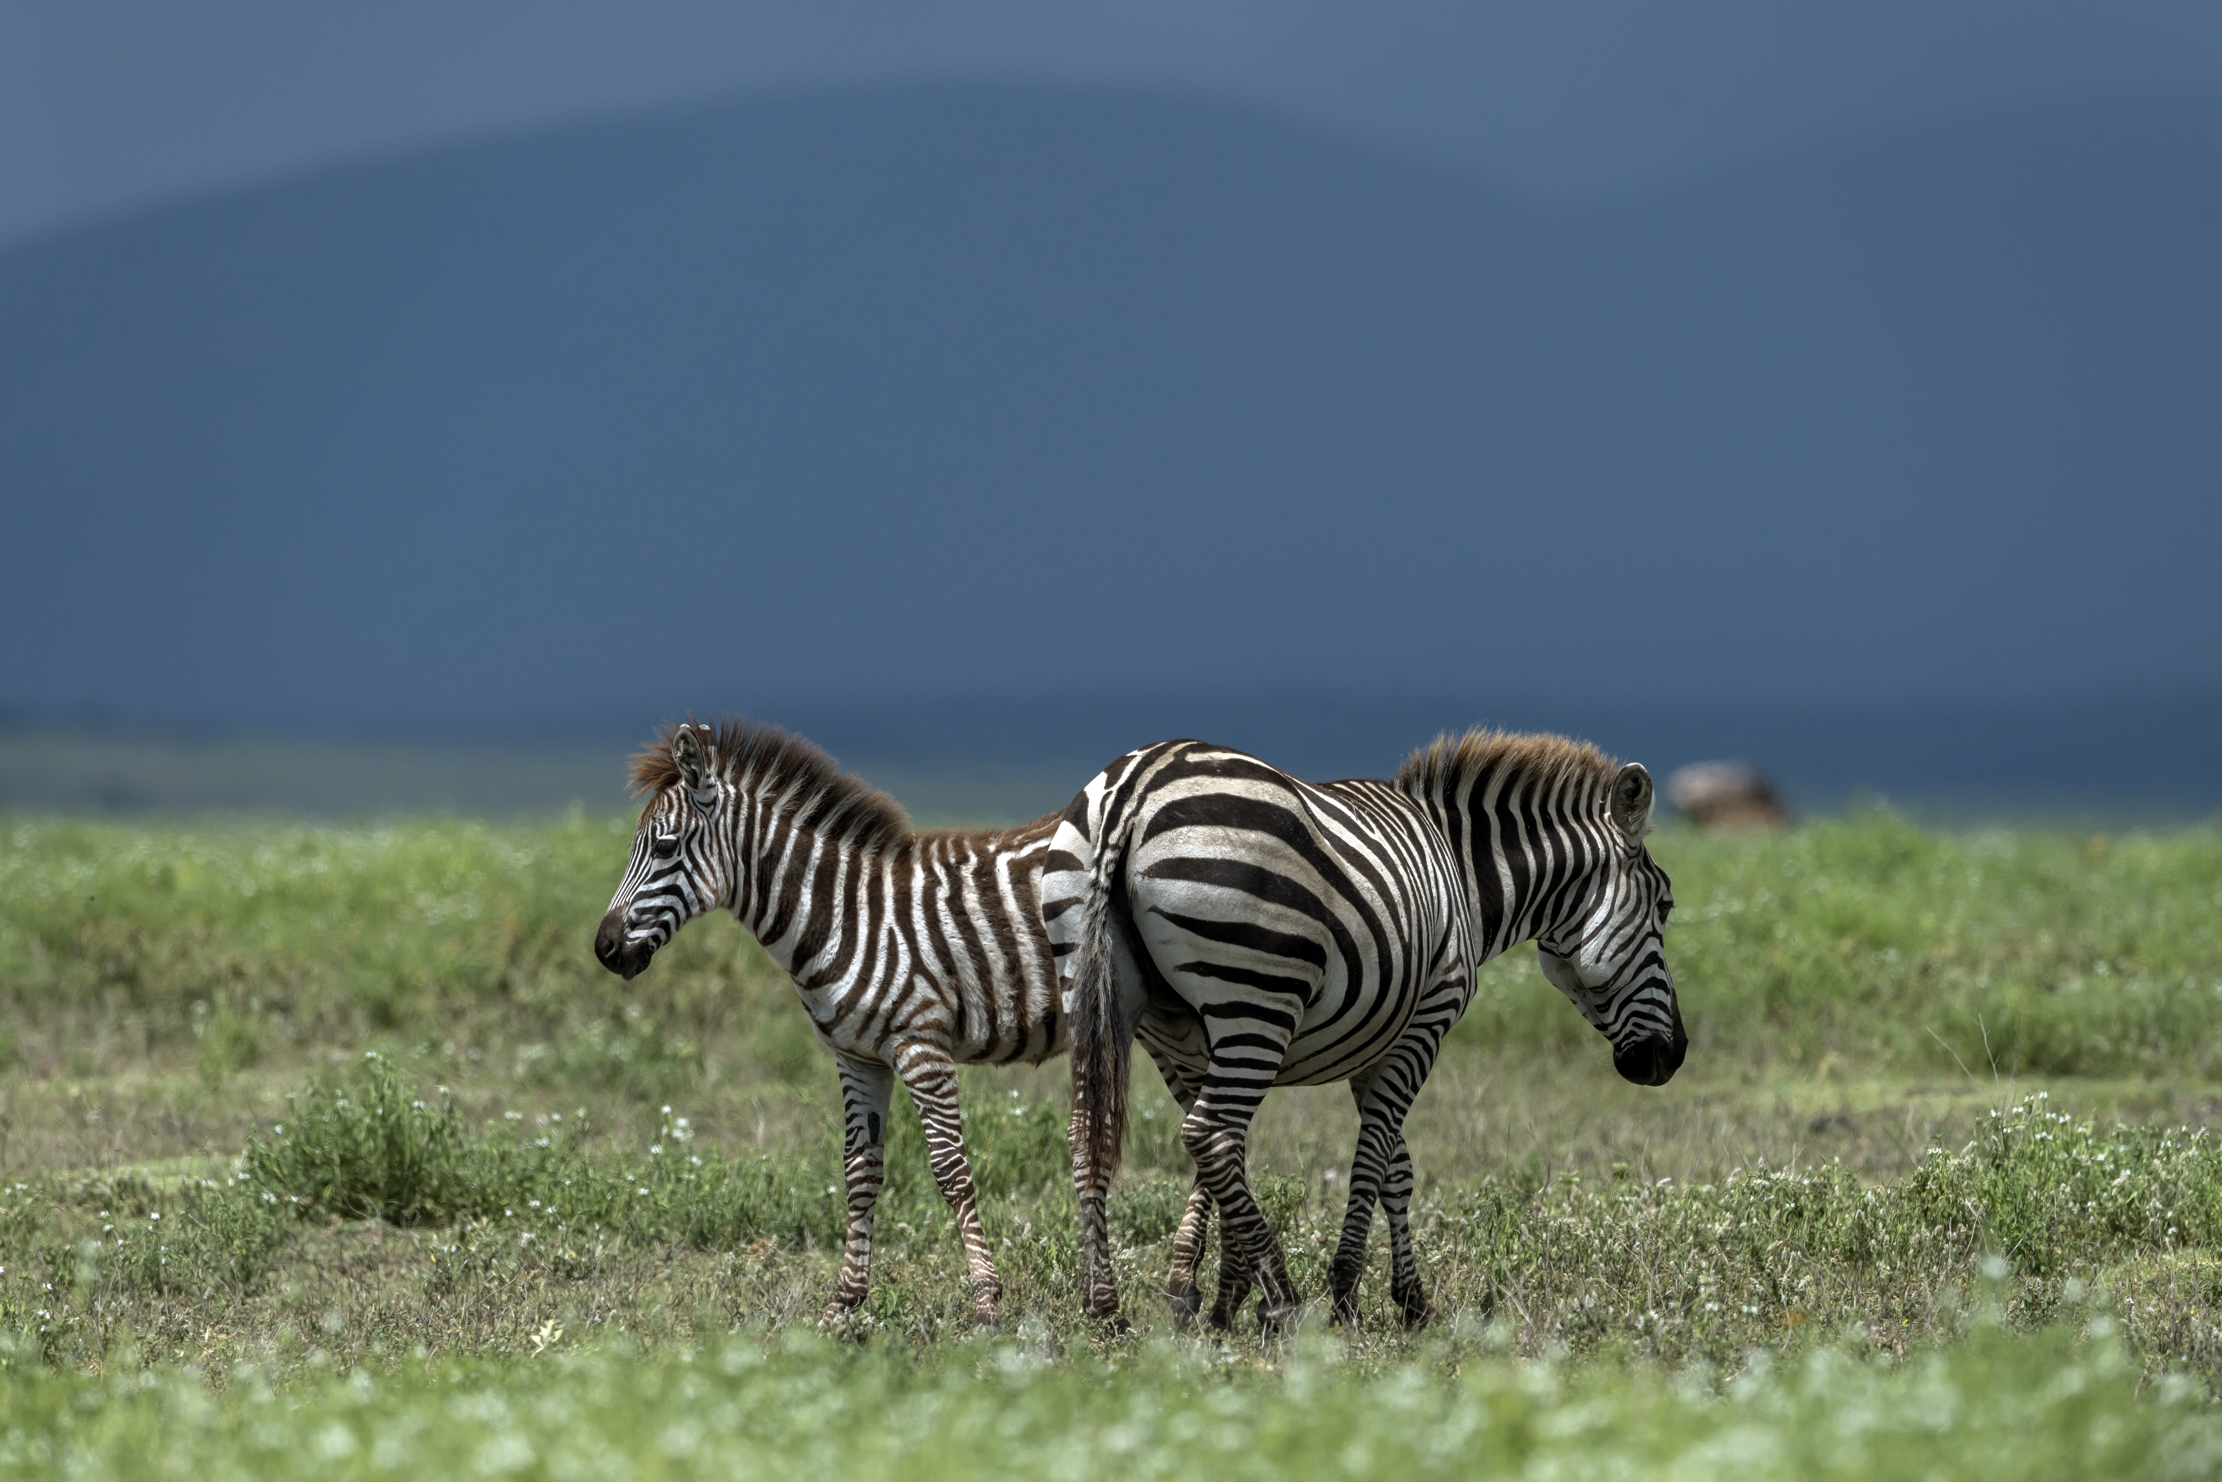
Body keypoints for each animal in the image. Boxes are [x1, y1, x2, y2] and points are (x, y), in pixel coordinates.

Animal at [593, 719, 1065, 1327]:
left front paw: (986, 1300)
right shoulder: (858, 1056)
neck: (844, 916)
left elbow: (951, 1170)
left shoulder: (921, 1046)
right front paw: (843, 1305)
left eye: (665, 847)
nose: (604, 949)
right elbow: (860, 1173)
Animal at [1045, 729, 1684, 1332]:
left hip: (1102, 986)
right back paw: (1285, 1300)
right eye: (1666, 907)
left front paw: (1216, 1296)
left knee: (1095, 1131)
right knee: (1212, 1133)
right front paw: (1347, 1293)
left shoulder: (1336, 1042)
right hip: (1257, 995)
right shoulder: (1425, 1022)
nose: (1672, 1057)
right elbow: (1373, 1157)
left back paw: (1104, 1305)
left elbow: (1394, 1167)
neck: (1464, 879)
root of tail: (1135, 787)